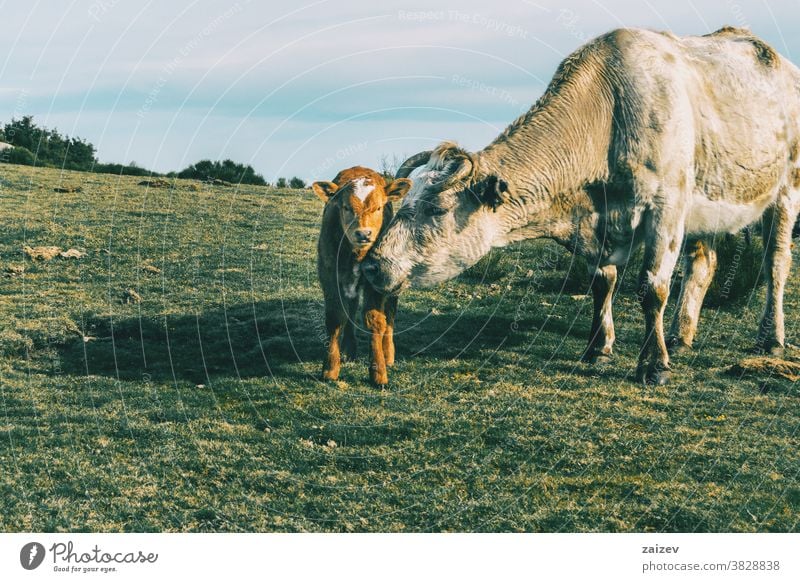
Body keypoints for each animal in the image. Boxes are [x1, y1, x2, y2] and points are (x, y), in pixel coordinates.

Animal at [312, 168, 412, 388]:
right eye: (346, 207)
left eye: (378, 207)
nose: (364, 233)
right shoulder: (329, 275)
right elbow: (335, 318)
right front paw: (330, 368)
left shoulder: (377, 281)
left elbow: (375, 320)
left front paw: (379, 372)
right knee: (350, 309)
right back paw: (349, 349)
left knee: (389, 314)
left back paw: (388, 354)